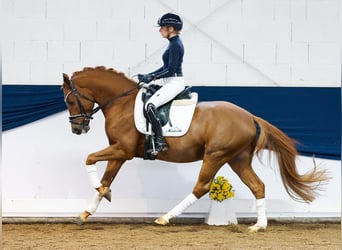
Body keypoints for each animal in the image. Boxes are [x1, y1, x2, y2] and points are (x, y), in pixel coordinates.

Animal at [61, 66, 328, 232]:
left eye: (71, 100)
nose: (78, 129)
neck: (122, 104)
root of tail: (250, 116)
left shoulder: (122, 150)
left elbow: (89, 159)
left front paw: (101, 195)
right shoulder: (119, 152)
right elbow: (106, 178)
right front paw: (87, 211)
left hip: (215, 155)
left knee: (202, 187)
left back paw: (165, 218)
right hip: (238, 159)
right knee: (257, 186)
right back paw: (258, 226)